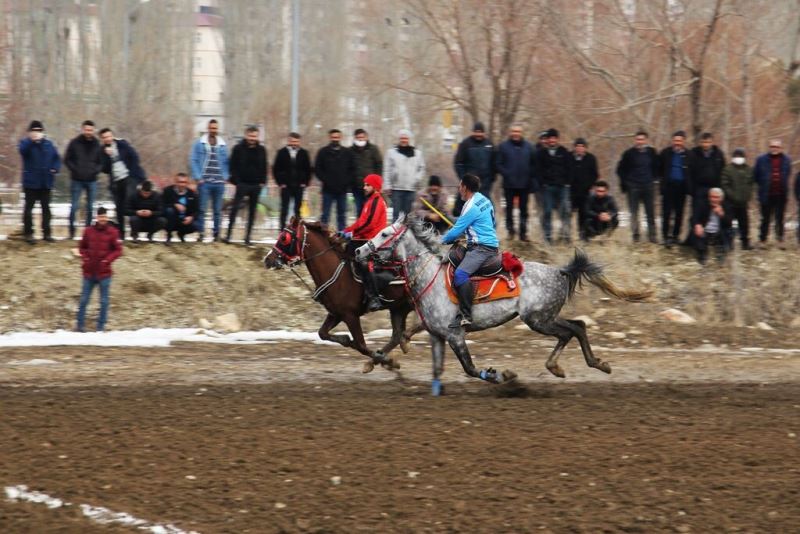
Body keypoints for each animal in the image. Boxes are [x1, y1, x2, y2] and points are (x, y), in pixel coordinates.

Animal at [266, 219, 418, 372]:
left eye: (284, 238)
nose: (267, 259)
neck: (336, 273)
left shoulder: (350, 316)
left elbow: (361, 345)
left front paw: (386, 359)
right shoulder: (336, 314)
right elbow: (323, 333)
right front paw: (347, 340)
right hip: (399, 308)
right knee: (397, 335)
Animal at [354, 216, 648, 396]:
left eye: (384, 233)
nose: (358, 251)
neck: (430, 278)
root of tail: (561, 272)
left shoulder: (454, 334)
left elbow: (470, 368)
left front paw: (502, 376)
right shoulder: (437, 336)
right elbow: (436, 367)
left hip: (538, 319)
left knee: (572, 330)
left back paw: (576, 365)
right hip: (544, 317)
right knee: (577, 326)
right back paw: (582, 364)